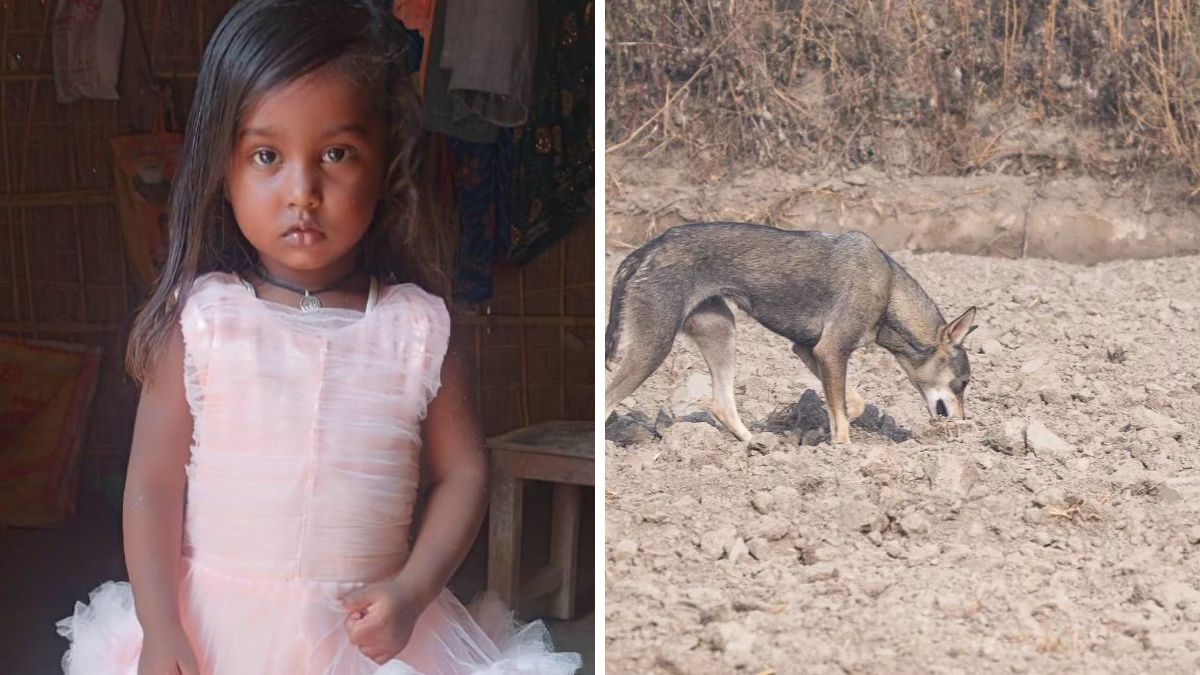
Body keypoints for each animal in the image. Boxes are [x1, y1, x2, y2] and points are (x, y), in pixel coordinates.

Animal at [604, 222, 977, 445]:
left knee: (722, 405)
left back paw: (755, 444)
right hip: (653, 347)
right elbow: (844, 416)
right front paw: (843, 451)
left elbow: (851, 404)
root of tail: (646, 250)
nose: (962, 423)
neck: (888, 290)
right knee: (608, 399)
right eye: (962, 383)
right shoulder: (830, 350)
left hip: (721, 331)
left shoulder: (810, 350)